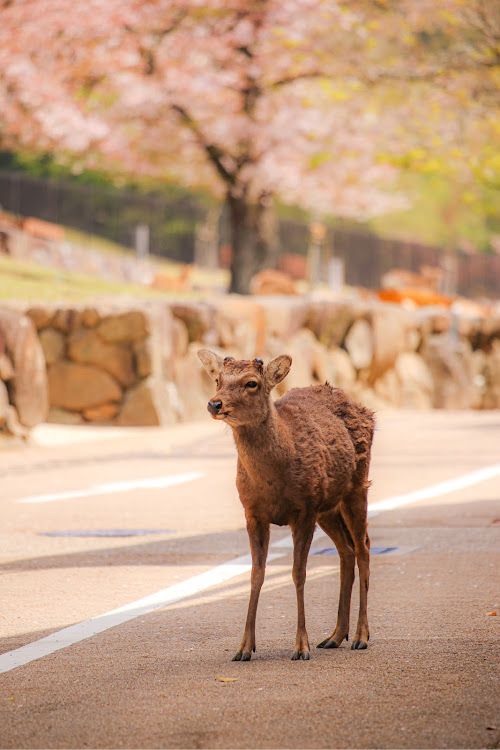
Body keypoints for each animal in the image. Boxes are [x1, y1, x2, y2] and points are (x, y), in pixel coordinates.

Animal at [197, 350, 374, 660]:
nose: (214, 403)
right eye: (218, 379)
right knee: (346, 550)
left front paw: (301, 646)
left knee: (363, 547)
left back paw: (360, 636)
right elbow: (256, 575)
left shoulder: (304, 509)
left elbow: (298, 574)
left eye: (252, 383)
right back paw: (334, 636)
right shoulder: (252, 513)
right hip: (328, 507)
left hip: (356, 486)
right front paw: (244, 647)